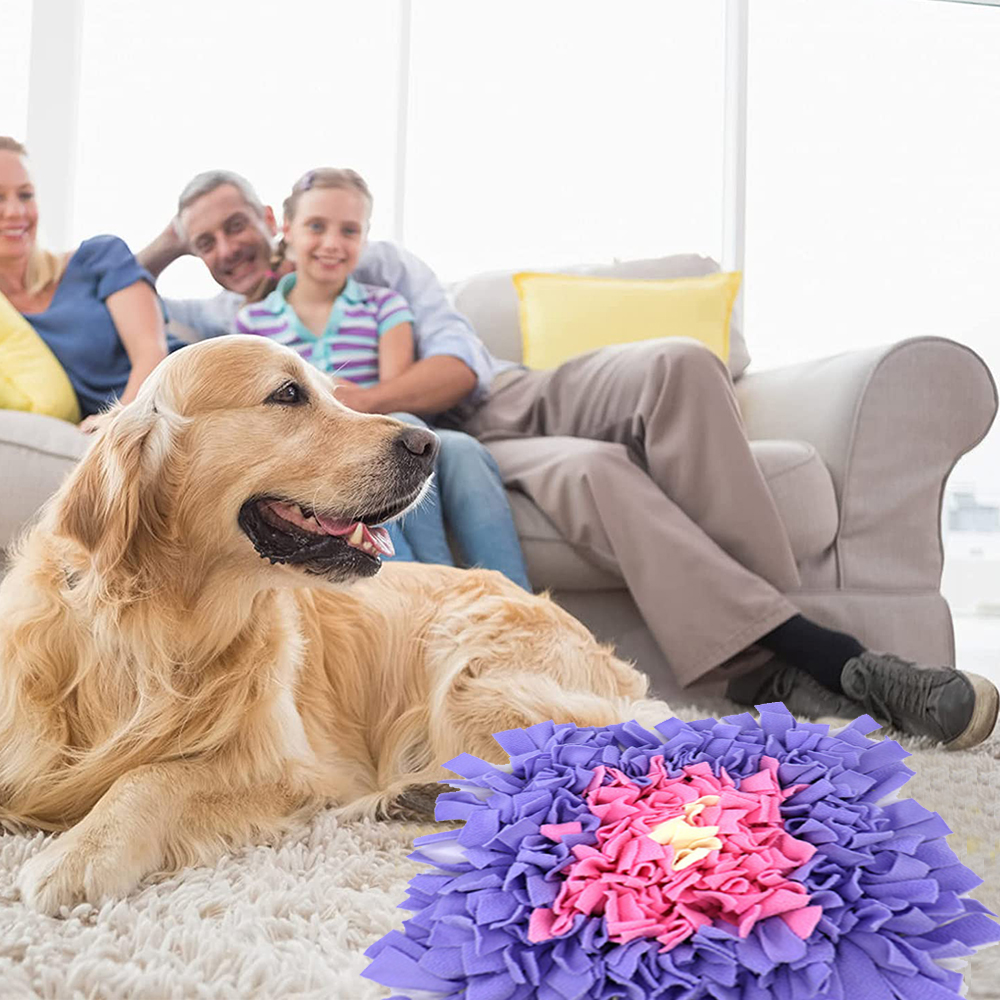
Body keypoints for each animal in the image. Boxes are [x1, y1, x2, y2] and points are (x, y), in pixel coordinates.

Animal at [1, 336, 672, 916]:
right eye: (288, 394)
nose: (429, 445)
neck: (163, 626)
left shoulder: (291, 768)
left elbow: (153, 775)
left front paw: (82, 852)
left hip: (472, 672)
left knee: (591, 760)